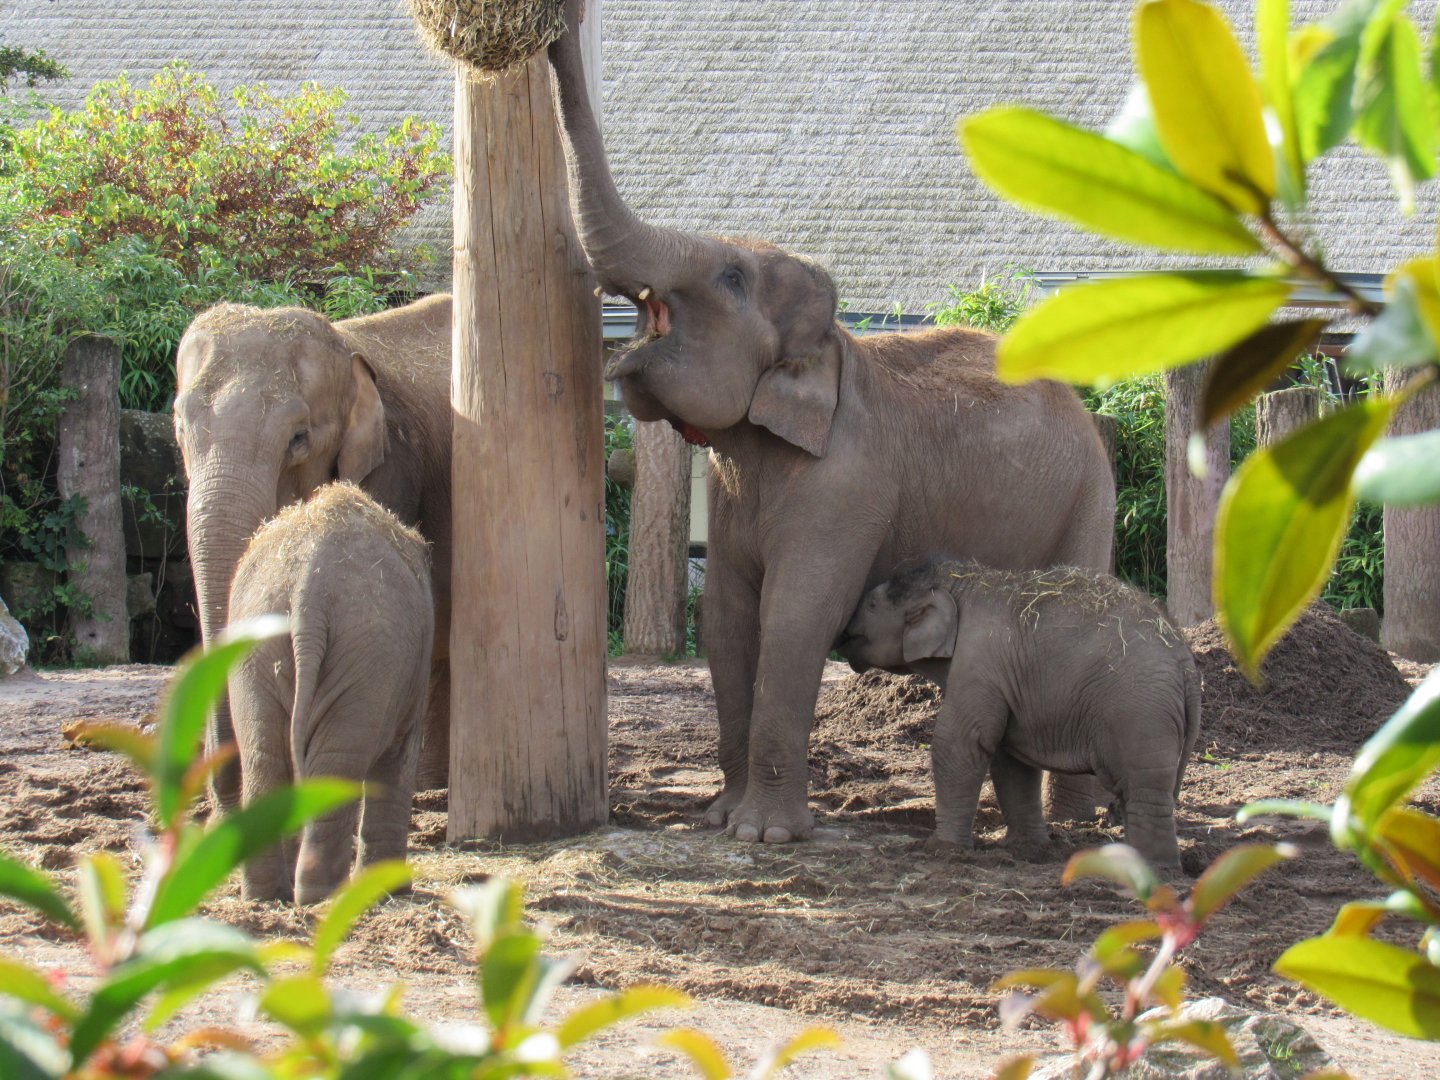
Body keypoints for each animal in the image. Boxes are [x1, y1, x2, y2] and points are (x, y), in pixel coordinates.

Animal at [173, 294, 452, 807]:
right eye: (180, 431)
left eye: (298, 439)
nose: (225, 793)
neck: (346, 346)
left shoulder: (393, 469)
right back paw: (431, 787)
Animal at [229, 483, 433, 904]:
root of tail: (309, 589)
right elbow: (399, 755)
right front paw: (392, 889)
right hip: (371, 656)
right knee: (337, 764)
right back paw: (321, 894)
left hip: (253, 653)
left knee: (264, 757)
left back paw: (266, 895)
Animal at [545, 0, 1117, 843]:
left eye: (731, 278)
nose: (560, 25)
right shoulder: (733, 488)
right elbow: (726, 620)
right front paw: (722, 820)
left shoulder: (847, 486)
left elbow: (794, 617)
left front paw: (763, 836)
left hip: (1088, 499)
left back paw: (1075, 829)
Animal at [837, 561, 1200, 867]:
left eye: (872, 605)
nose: (841, 634)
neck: (960, 582)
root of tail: (1185, 659)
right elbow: (1011, 760)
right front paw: (1028, 850)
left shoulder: (978, 662)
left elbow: (960, 744)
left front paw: (942, 849)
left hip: (1141, 716)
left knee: (1145, 790)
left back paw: (1156, 871)